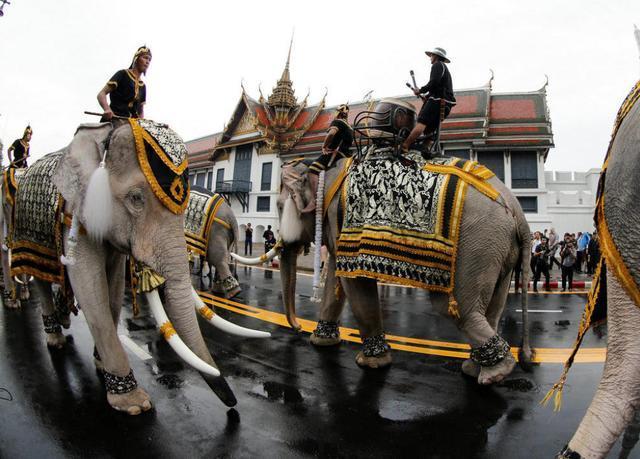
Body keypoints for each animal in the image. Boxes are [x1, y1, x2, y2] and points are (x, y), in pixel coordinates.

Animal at [1, 120, 268, 416]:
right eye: (136, 198)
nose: (233, 409)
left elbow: (114, 289)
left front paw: (102, 367)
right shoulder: (76, 215)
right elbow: (90, 287)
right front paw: (133, 403)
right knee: (40, 277)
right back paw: (52, 335)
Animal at [234, 152, 528, 388]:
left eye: (280, 206)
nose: (296, 329)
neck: (324, 168)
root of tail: (516, 209)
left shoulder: (341, 218)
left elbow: (355, 283)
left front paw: (370, 363)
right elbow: (336, 280)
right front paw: (321, 342)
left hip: (476, 246)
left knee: (455, 308)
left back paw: (495, 372)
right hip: (497, 249)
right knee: (493, 306)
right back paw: (475, 369)